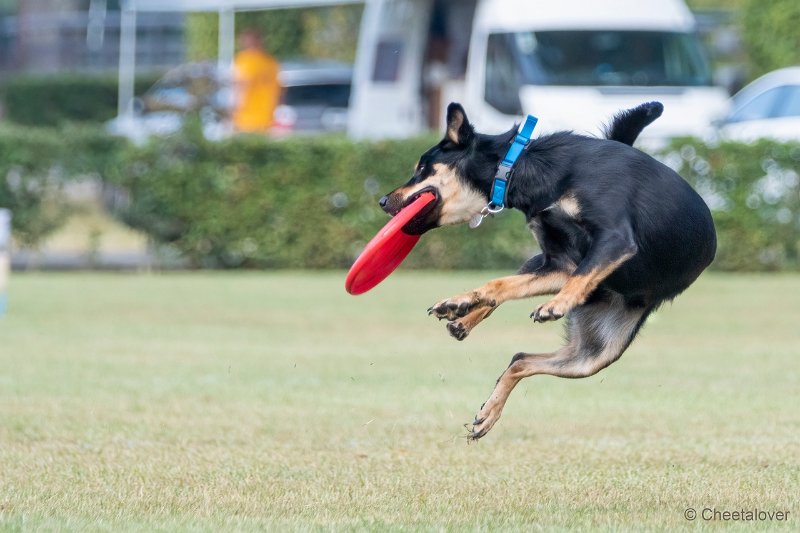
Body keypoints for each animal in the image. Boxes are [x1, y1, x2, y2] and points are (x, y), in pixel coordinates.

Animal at [378, 102, 716, 438]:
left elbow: (576, 276)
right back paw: (466, 328)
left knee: (521, 356)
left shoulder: (613, 241)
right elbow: (500, 284)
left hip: (594, 355)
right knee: (517, 348)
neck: (520, 165)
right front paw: (460, 301)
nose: (381, 200)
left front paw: (556, 304)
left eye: (422, 169)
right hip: (578, 336)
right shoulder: (561, 264)